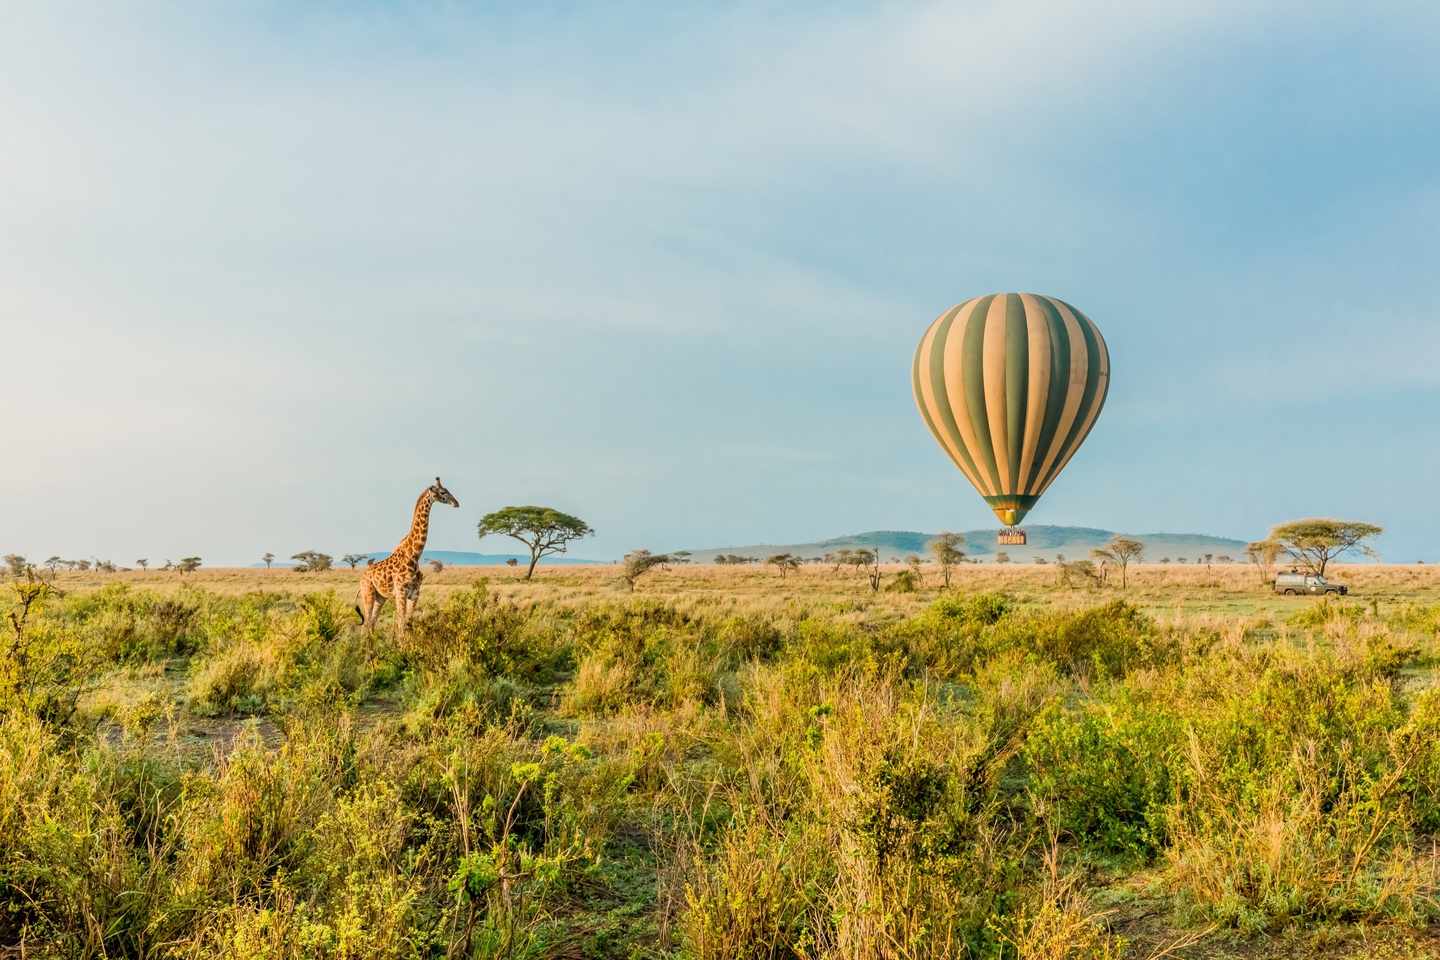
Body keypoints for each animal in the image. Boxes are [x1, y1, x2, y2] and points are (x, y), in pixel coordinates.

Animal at [355, 477, 459, 635]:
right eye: (443, 492)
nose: (456, 503)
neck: (414, 555)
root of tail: (361, 578)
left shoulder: (415, 594)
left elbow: (408, 624)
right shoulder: (401, 593)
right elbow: (401, 625)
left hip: (380, 598)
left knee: (372, 624)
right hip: (368, 594)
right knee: (366, 625)